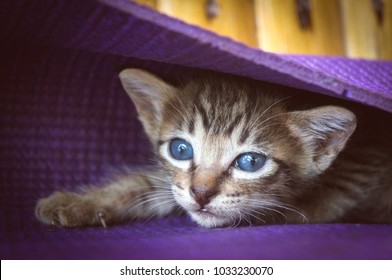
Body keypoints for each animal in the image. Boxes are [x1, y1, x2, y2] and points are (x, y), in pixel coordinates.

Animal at [35, 68, 392, 228]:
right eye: (180, 150)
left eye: (250, 162)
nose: (201, 194)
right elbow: (149, 186)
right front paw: (81, 202)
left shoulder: (359, 167)